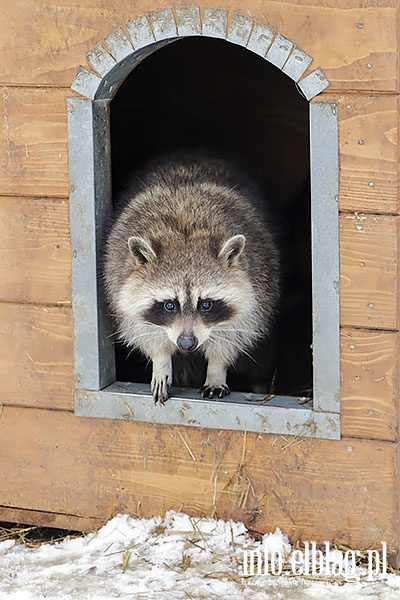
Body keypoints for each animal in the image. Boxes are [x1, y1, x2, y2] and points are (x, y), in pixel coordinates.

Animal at [104, 155, 280, 406]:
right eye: (170, 305)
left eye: (206, 304)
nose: (187, 344)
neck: (184, 228)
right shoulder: (118, 281)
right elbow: (143, 330)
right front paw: (161, 360)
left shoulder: (259, 287)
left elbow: (234, 334)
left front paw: (216, 368)